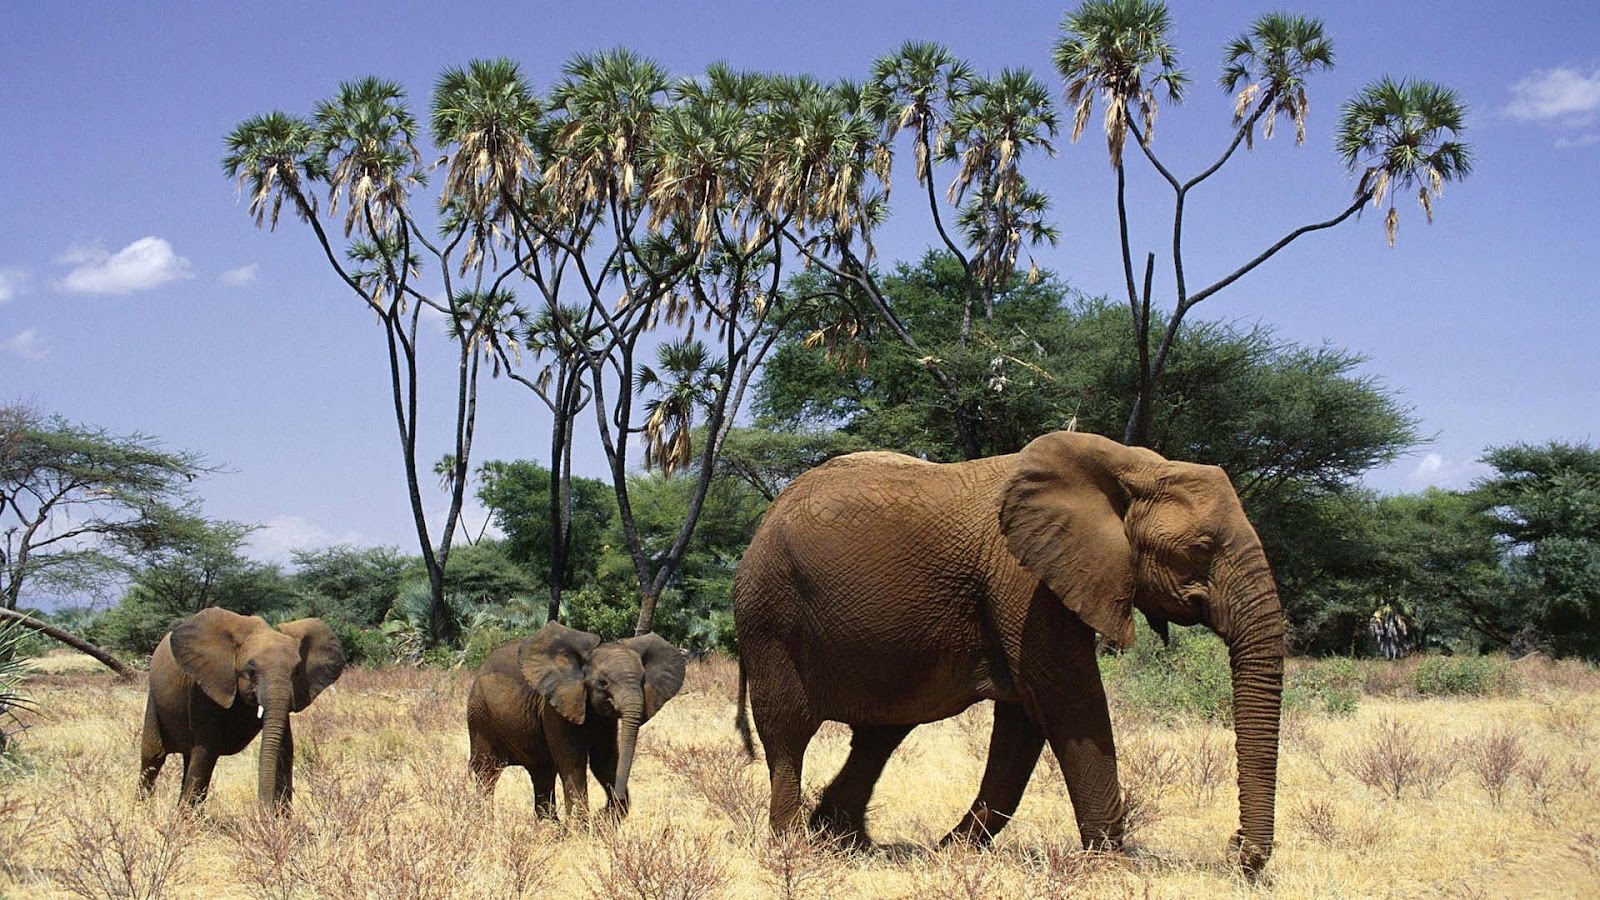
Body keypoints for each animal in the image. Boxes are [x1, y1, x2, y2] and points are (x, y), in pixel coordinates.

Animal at [140, 607, 345, 808]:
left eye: (296, 672)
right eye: (251, 672)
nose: (263, 810)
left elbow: (285, 749)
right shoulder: (204, 688)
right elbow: (206, 750)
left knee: (188, 757)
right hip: (154, 701)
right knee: (154, 757)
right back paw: (142, 809)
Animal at [467, 622, 686, 821]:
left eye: (642, 680)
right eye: (603, 683)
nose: (603, 810)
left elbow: (604, 761)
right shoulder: (555, 705)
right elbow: (574, 760)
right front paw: (581, 827)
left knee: (542, 773)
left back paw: (549, 827)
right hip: (479, 717)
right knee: (487, 772)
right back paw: (485, 822)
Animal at [732, 431, 1285, 874]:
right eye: (1201, 547)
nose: (1238, 851)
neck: (1132, 465)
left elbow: (1024, 721)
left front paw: (952, 853)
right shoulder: (1025, 578)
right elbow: (1066, 698)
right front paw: (1112, 867)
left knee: (881, 734)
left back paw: (844, 841)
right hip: (769, 614)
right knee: (788, 730)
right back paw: (792, 847)